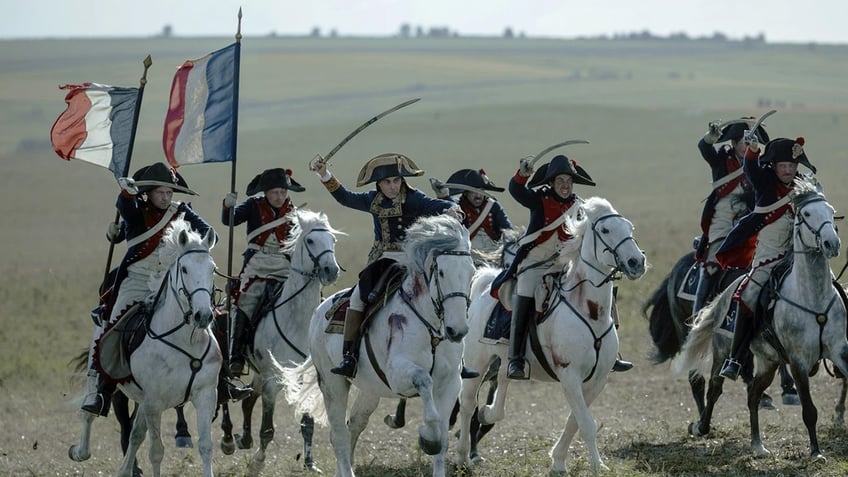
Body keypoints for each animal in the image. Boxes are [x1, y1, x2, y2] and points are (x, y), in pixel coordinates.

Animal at [70, 219, 220, 476]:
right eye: (184, 269)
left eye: (212, 269)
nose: (203, 316)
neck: (184, 342)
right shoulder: (153, 403)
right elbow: (156, 451)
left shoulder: (205, 394)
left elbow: (206, 446)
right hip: (105, 382)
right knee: (90, 414)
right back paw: (80, 451)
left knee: (135, 433)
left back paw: (125, 470)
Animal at [222, 208, 344, 476]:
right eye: (311, 240)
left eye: (332, 240)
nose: (331, 270)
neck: (296, 319)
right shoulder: (272, 380)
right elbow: (267, 429)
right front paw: (258, 463)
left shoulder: (304, 378)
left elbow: (307, 422)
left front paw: (310, 463)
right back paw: (230, 440)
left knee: (248, 401)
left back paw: (243, 439)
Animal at [284, 215, 476, 476]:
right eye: (442, 272)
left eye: (472, 272)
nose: (457, 330)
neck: (430, 329)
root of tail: (319, 311)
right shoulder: (398, 375)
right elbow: (424, 381)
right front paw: (428, 438)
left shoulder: (450, 383)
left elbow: (443, 441)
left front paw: (435, 443)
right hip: (333, 384)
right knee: (339, 435)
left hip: (369, 389)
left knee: (354, 425)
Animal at [454, 195, 644, 474]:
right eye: (606, 230)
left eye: (630, 228)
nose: (636, 262)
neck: (589, 312)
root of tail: (484, 287)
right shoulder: (569, 375)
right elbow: (586, 424)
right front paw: (597, 466)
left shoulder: (597, 380)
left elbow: (574, 421)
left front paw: (559, 461)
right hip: (476, 363)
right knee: (467, 404)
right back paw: (461, 457)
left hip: (506, 359)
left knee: (503, 379)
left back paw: (489, 413)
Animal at [676, 178, 848, 458]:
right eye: (806, 214)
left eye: (831, 212)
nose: (832, 243)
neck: (812, 298)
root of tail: (724, 295)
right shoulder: (798, 361)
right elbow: (809, 410)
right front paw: (815, 452)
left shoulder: (839, 350)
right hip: (723, 351)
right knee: (715, 388)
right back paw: (701, 427)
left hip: (769, 362)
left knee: (753, 394)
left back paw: (757, 444)